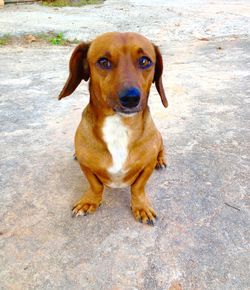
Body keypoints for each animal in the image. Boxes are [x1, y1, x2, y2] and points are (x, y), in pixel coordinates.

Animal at [58, 32, 168, 227]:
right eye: (103, 62)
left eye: (145, 61)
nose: (130, 98)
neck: (119, 126)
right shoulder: (86, 167)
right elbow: (96, 185)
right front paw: (90, 201)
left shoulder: (146, 167)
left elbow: (138, 187)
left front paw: (141, 206)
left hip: (159, 138)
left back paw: (160, 160)